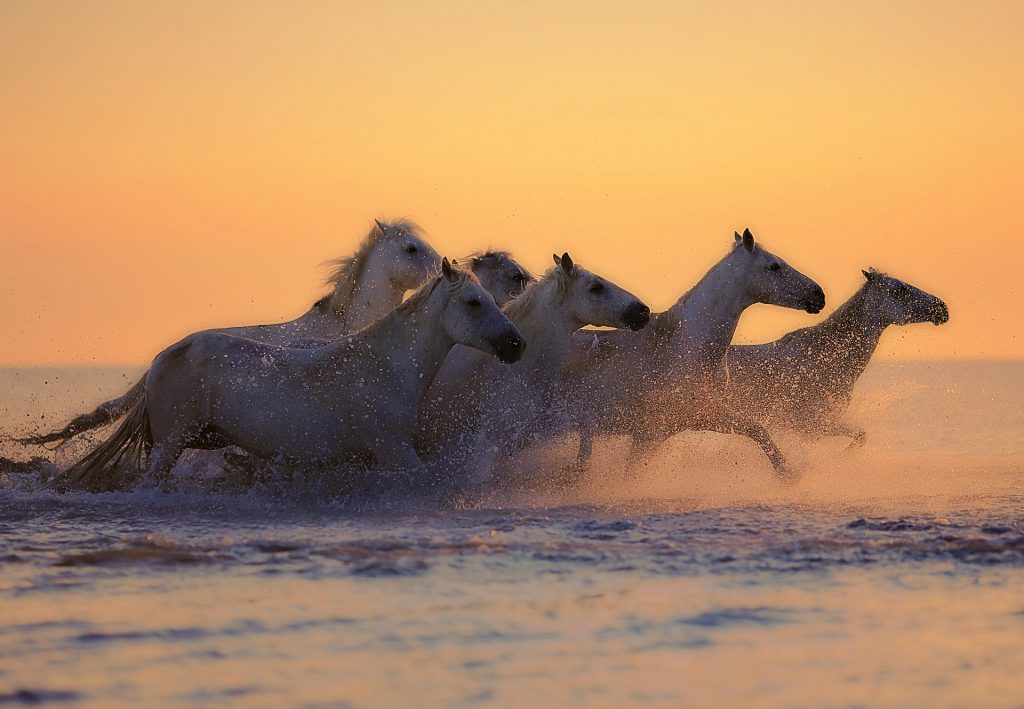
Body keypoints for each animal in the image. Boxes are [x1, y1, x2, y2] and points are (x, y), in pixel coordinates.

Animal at [53, 259, 525, 493]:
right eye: (473, 302)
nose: (515, 344)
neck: (385, 365)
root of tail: (164, 357)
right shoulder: (392, 448)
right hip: (170, 445)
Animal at [563, 228, 825, 481]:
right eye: (774, 266)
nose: (818, 295)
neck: (686, 348)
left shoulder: (697, 418)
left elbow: (755, 428)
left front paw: (787, 473)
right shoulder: (649, 431)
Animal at [721, 268, 948, 444]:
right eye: (901, 289)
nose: (942, 308)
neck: (825, 358)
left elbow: (860, 436)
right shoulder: (812, 425)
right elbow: (858, 436)